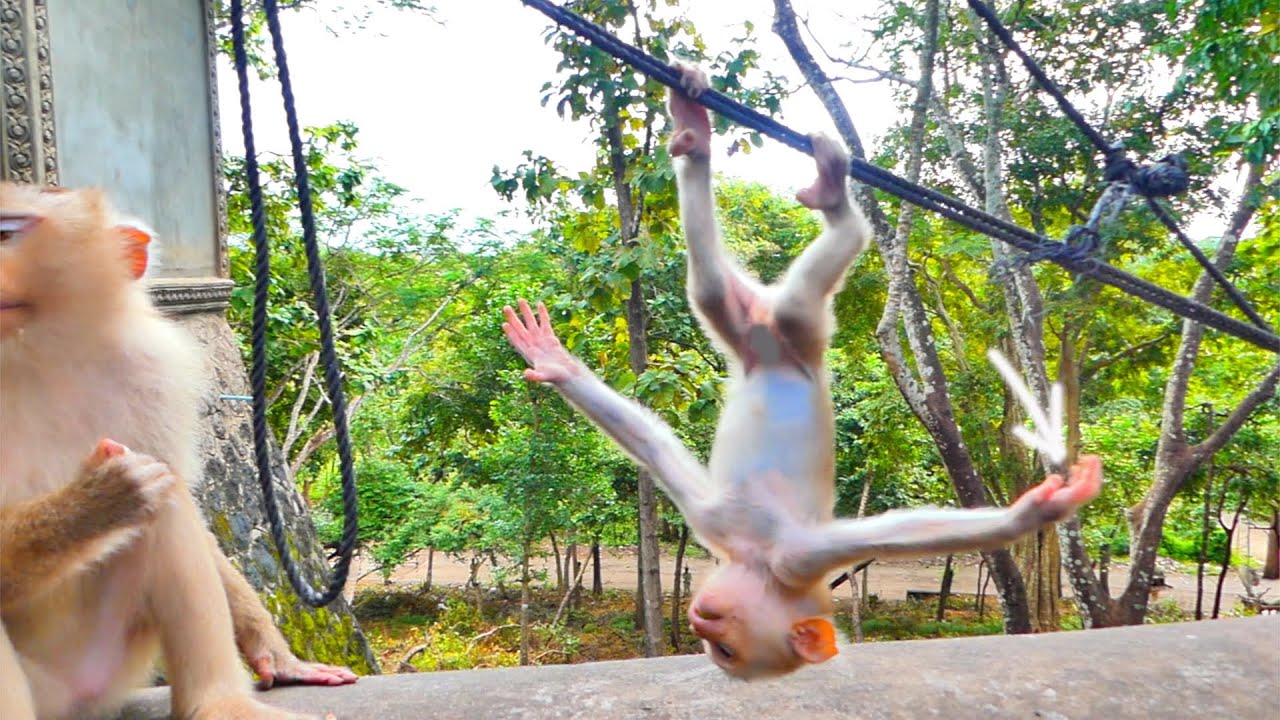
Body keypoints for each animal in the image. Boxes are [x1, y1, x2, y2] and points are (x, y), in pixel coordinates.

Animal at [0, 181, 355, 719]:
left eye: (6, 233)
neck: (36, 355)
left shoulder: (153, 370)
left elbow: (180, 493)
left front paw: (276, 651)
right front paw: (94, 503)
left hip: (110, 664)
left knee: (167, 502)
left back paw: (220, 702)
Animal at [500, 64, 1103, 681]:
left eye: (723, 649)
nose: (698, 619)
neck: (755, 560)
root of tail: (769, 337)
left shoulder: (774, 546)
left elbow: (657, 448)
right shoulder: (780, 550)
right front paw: (1038, 508)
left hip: (768, 329)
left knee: (716, 291)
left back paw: (703, 141)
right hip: (794, 328)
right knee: (776, 285)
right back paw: (807, 186)